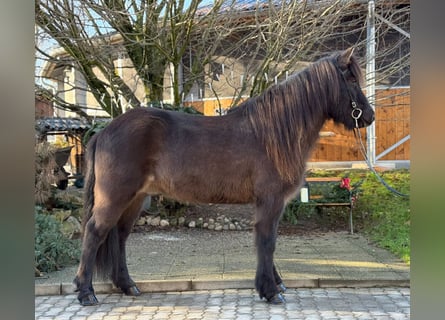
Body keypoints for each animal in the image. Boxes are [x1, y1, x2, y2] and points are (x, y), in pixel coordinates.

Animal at [73, 47, 374, 304]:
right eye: (352, 80)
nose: (369, 116)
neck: (272, 133)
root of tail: (104, 131)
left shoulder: (269, 203)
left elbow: (268, 241)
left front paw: (275, 284)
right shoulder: (270, 200)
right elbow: (267, 242)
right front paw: (270, 291)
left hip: (136, 199)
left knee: (120, 236)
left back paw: (128, 285)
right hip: (115, 196)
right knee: (94, 233)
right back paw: (86, 292)